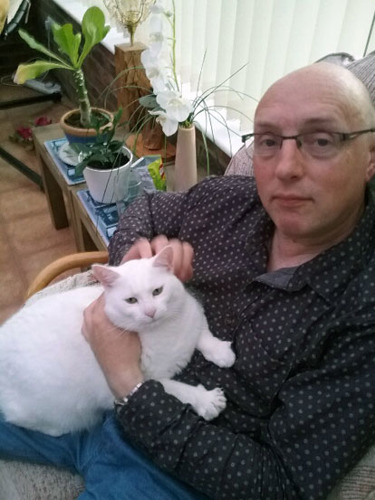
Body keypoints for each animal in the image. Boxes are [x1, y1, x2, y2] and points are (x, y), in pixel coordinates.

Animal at [0, 248, 235, 436]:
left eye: (157, 291)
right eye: (131, 300)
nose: (150, 312)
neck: (165, 331)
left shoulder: (193, 312)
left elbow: (203, 334)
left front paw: (221, 352)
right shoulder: (142, 381)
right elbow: (178, 390)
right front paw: (205, 399)